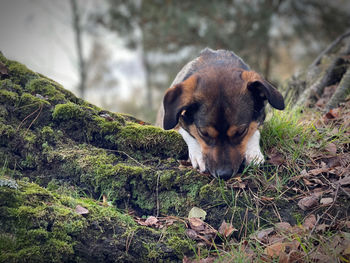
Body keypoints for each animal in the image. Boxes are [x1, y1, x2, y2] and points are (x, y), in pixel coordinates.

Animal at [159, 48, 284, 179]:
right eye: (204, 133)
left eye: (241, 131)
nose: (224, 174)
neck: (218, 63)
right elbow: (186, 131)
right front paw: (198, 154)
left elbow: (255, 130)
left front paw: (253, 152)